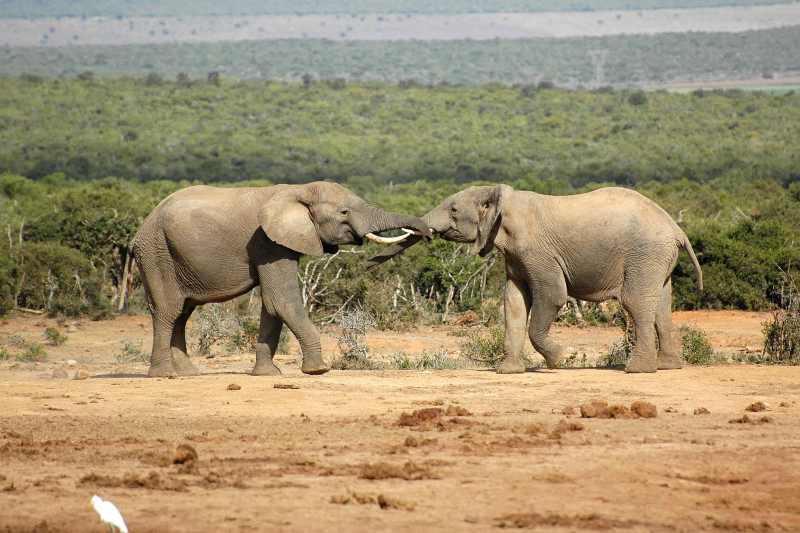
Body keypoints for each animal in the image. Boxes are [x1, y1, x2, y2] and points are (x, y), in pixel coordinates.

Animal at [131, 181, 428, 377]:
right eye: (344, 212)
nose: (427, 233)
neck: (299, 190)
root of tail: (143, 225)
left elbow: (272, 307)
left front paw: (268, 375)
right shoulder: (267, 242)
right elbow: (282, 301)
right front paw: (318, 370)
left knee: (182, 313)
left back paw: (189, 373)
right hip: (156, 252)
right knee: (168, 310)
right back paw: (164, 375)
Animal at [369, 185, 703, 374]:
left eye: (453, 209)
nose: (368, 262)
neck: (502, 198)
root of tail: (677, 229)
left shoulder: (536, 251)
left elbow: (552, 296)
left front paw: (560, 360)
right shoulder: (514, 256)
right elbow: (513, 303)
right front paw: (507, 372)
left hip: (644, 253)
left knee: (636, 303)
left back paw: (638, 371)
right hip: (656, 258)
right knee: (662, 306)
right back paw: (669, 366)